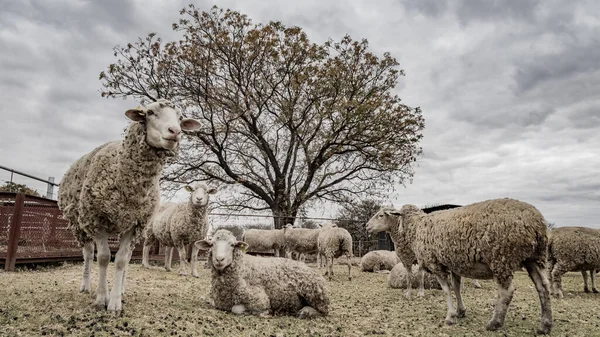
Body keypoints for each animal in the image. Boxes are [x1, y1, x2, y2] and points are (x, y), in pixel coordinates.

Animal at [57, 99, 202, 310]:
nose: (175, 131)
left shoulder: (134, 224)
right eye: (149, 112)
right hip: (80, 223)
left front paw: (115, 301)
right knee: (88, 253)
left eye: (180, 118)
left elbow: (121, 260)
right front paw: (102, 298)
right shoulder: (97, 219)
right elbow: (103, 258)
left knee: (125, 256)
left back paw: (122, 288)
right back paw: (85, 285)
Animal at [366, 197, 552, 334]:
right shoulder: (454, 263)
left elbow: (447, 290)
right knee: (543, 286)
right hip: (534, 258)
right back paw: (545, 325)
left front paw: (450, 316)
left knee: (507, 291)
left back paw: (495, 322)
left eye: (381, 215)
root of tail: (536, 222)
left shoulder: (436, 264)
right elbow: (456, 288)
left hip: (502, 258)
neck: (417, 227)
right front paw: (460, 311)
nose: (367, 226)